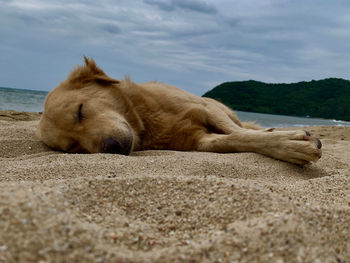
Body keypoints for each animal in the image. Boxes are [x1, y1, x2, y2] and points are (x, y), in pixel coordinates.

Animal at [36, 57, 322, 165]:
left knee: (242, 125)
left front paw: (287, 139)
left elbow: (239, 133)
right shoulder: (198, 141)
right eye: (73, 148)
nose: (111, 148)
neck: (146, 120)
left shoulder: (206, 108)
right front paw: (287, 144)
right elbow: (234, 139)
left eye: (80, 111)